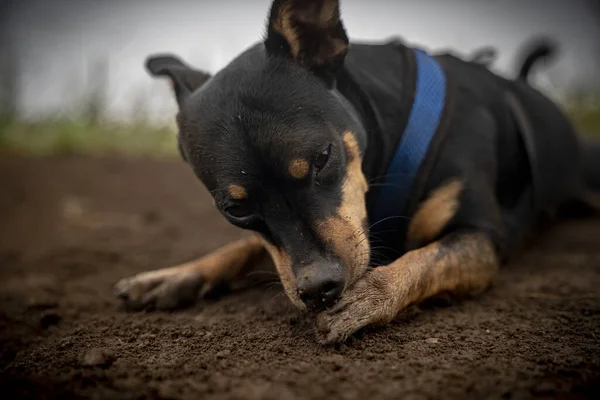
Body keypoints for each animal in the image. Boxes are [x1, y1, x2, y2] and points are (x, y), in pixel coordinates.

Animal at [115, 0, 596, 344]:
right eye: (235, 210)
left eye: (323, 157)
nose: (318, 288)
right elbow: (243, 247)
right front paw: (176, 274)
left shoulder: (480, 237)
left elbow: (424, 260)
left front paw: (372, 296)